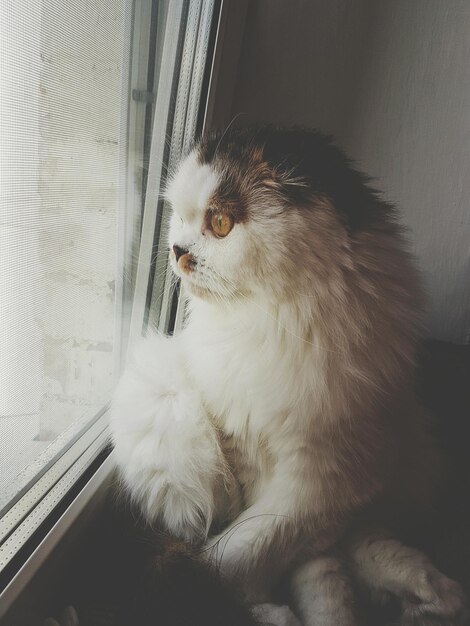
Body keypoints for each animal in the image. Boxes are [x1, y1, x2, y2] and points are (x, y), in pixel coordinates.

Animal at [109, 127, 466, 624]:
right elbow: (253, 557)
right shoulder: (248, 451)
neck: (272, 324)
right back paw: (428, 595)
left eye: (220, 222)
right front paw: (276, 610)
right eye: (179, 217)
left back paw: (434, 595)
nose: (176, 251)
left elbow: (241, 553)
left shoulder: (323, 480)